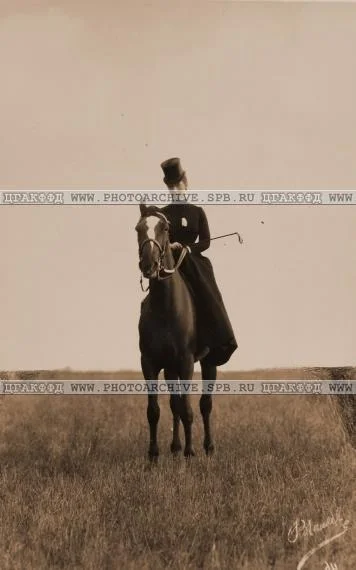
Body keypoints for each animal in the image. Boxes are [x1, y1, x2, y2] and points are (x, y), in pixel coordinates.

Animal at [136, 202, 214, 460]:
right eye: (138, 228)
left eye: (164, 228)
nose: (148, 265)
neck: (166, 308)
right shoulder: (149, 362)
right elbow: (154, 410)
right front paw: (153, 455)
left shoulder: (186, 362)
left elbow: (188, 409)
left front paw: (190, 453)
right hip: (170, 368)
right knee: (175, 404)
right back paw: (175, 446)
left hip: (207, 362)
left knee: (205, 404)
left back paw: (208, 447)